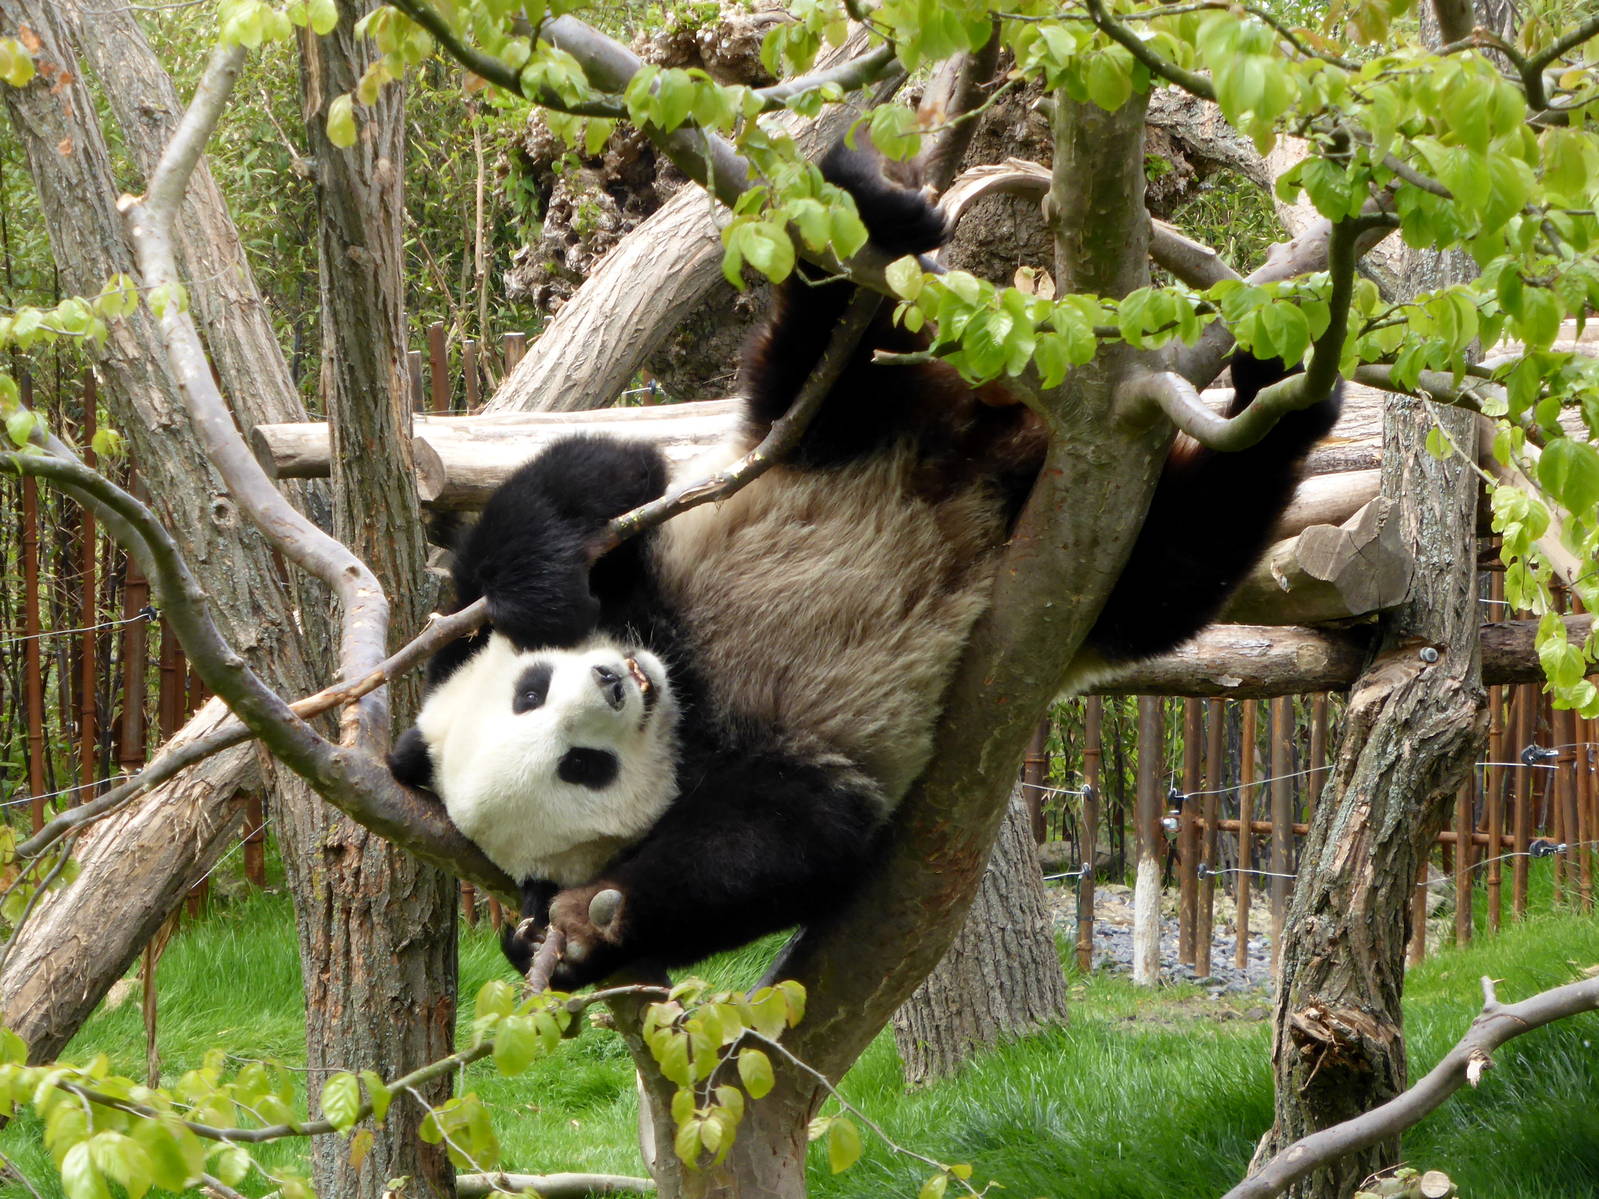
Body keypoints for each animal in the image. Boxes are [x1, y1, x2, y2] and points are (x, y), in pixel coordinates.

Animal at [389, 144, 1342, 989]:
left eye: (531, 690)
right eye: (579, 766)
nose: (615, 682)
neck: (684, 679)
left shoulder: (655, 544)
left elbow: (588, 480)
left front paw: (536, 593)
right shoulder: (760, 766)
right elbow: (785, 844)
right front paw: (577, 934)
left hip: (843, 423)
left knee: (827, 349)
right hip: (1093, 563)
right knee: (1174, 565)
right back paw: (1269, 408)